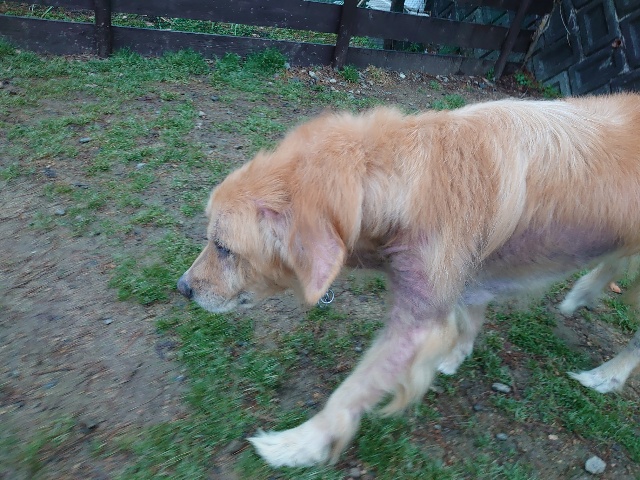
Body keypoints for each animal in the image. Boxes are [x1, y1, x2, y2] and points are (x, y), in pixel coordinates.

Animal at [178, 94, 640, 467]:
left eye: (223, 247)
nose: (182, 288)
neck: (396, 181)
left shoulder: (417, 321)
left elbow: (353, 390)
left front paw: (299, 444)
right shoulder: (462, 276)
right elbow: (469, 315)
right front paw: (456, 353)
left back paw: (607, 375)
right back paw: (582, 293)